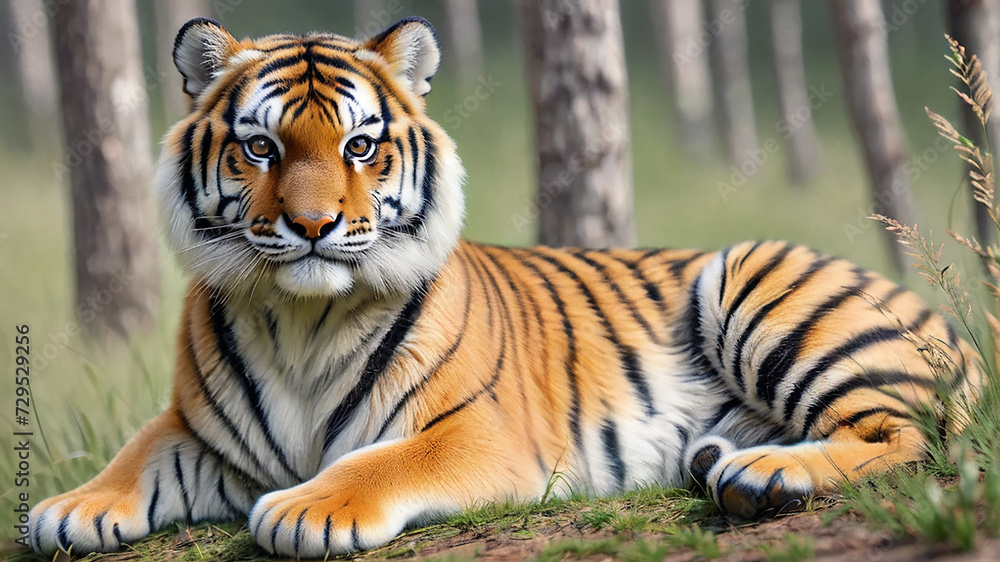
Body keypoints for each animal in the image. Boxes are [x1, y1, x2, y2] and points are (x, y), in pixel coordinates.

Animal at [28, 16, 983, 558]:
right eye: (260, 148)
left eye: (359, 146)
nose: (312, 225)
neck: (300, 317)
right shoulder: (199, 429)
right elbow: (135, 454)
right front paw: (68, 510)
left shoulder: (478, 432)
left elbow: (380, 459)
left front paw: (306, 507)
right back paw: (726, 462)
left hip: (759, 280)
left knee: (911, 434)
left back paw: (769, 477)